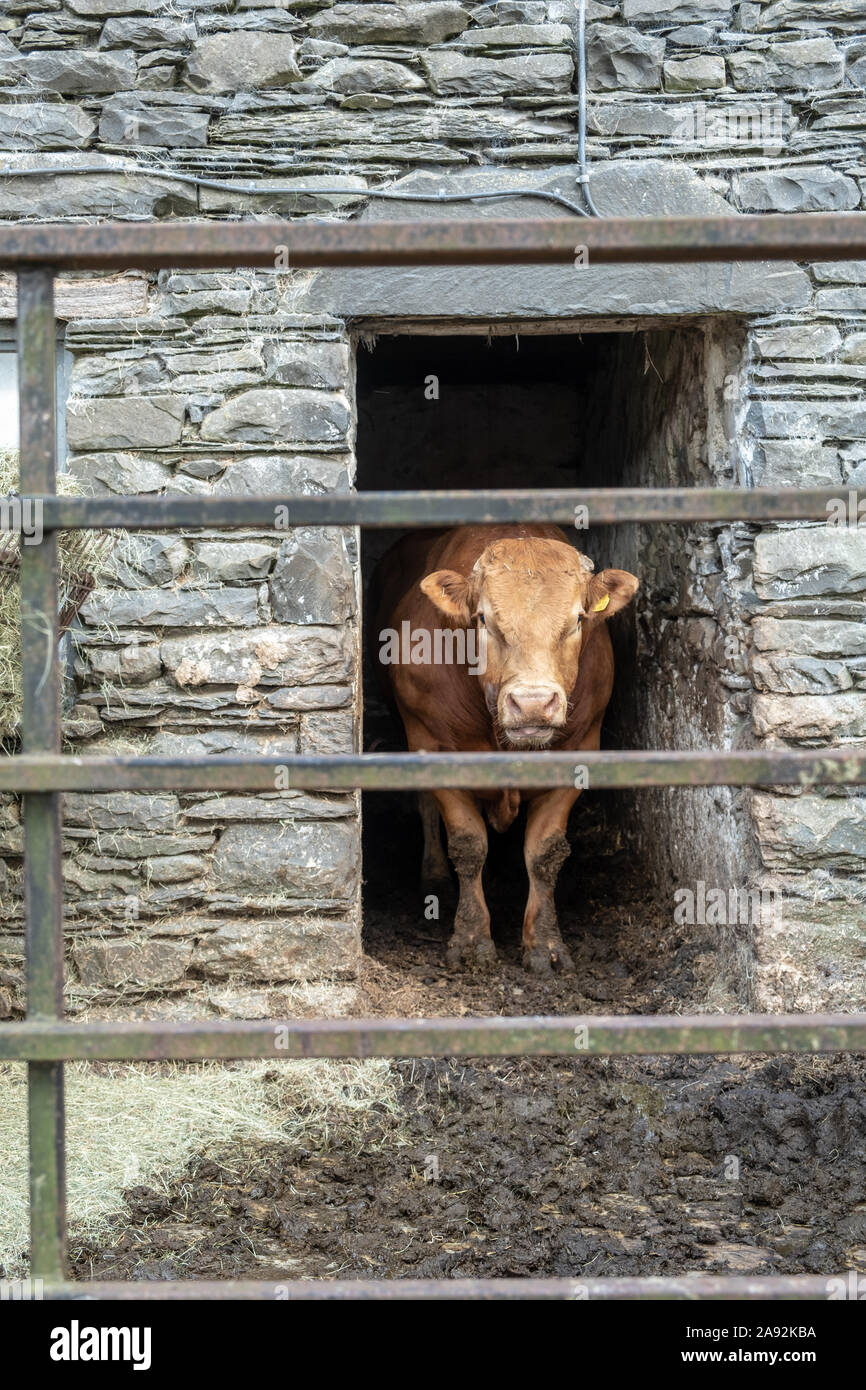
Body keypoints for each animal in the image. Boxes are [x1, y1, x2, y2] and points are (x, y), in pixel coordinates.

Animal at [375, 525, 639, 973]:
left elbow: (545, 853)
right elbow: (468, 845)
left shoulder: (581, 748)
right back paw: (434, 874)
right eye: (484, 618)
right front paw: (470, 940)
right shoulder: (431, 742)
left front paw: (545, 944)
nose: (532, 703)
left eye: (578, 619)